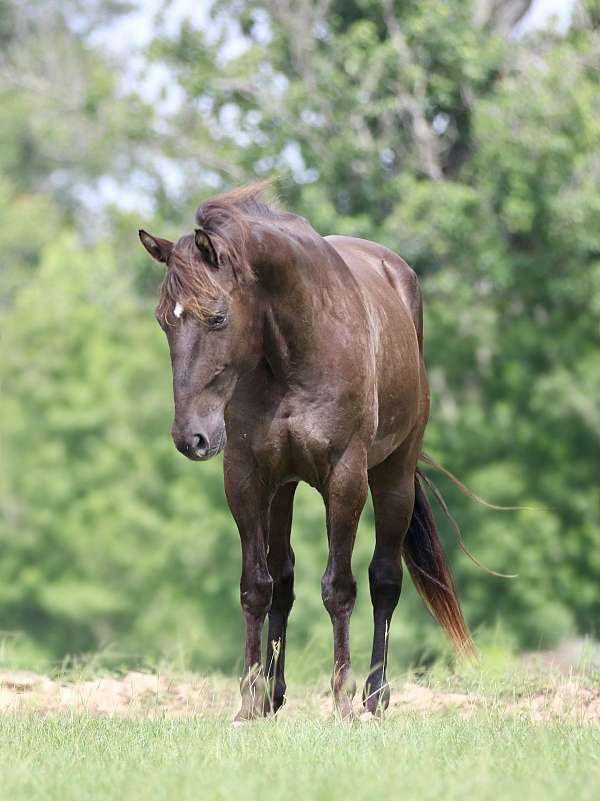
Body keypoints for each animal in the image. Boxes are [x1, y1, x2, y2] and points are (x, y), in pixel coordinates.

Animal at [138, 183, 473, 721]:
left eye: (218, 317)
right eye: (163, 322)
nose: (191, 438)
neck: (293, 351)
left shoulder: (346, 478)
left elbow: (340, 588)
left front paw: (340, 702)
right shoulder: (248, 477)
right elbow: (257, 587)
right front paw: (249, 704)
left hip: (393, 476)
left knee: (384, 578)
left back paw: (374, 696)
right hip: (285, 489)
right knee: (284, 579)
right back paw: (274, 696)